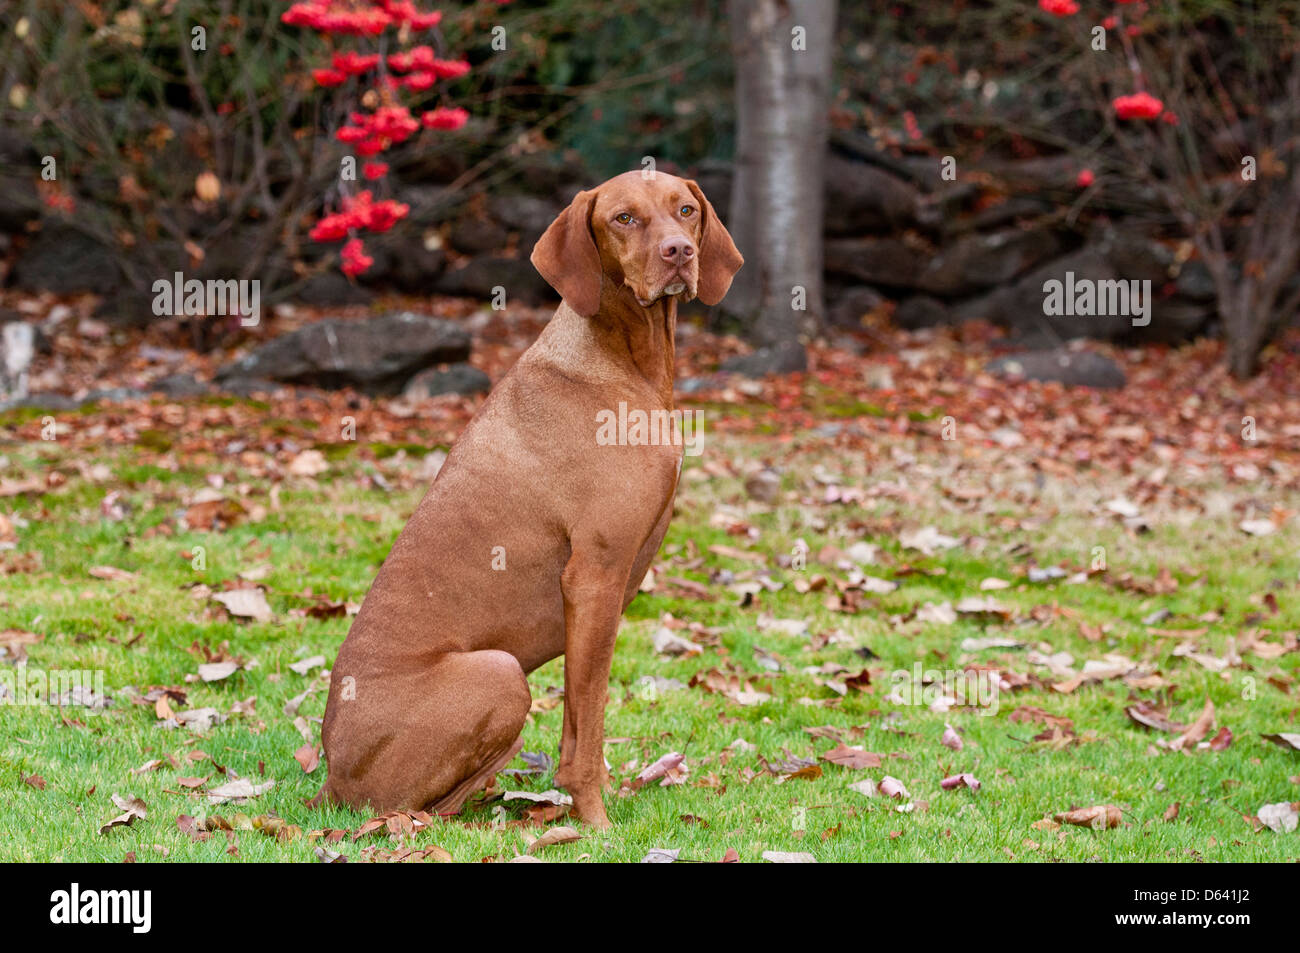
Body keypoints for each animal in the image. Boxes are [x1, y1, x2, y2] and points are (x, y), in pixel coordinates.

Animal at [313, 171, 743, 826]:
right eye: (623, 218)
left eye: (686, 210)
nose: (679, 253)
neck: (623, 361)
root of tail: (331, 776)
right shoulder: (593, 576)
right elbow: (588, 726)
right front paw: (595, 823)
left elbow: (578, 723)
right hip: (499, 671)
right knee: (413, 811)